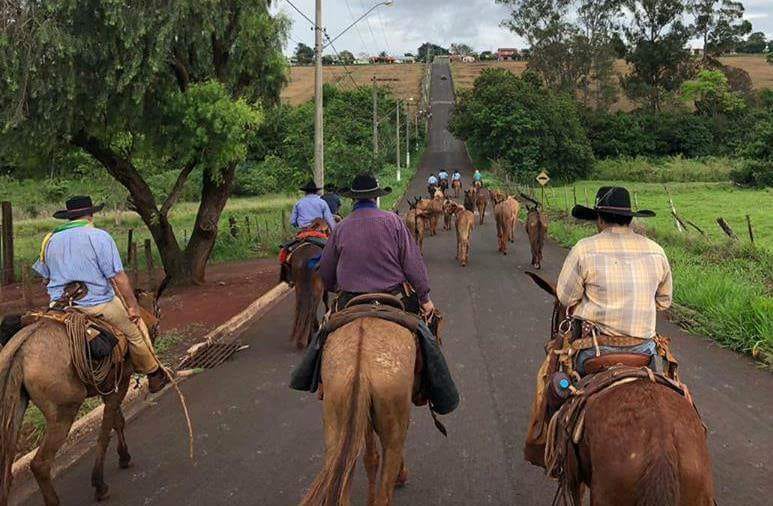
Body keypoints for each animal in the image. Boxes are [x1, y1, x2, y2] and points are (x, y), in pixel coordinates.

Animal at [0, 282, 167, 504]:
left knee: (6, 472)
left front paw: (123, 456)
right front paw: (99, 483)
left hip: (14, 408)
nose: (156, 326)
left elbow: (117, 421)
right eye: (158, 311)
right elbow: (106, 431)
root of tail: (21, 349)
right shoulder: (120, 383)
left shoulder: (109, 385)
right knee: (40, 464)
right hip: (64, 412)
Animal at [300, 318, 416, 504]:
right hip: (393, 423)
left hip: (336, 416)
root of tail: (359, 368)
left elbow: (371, 458)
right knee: (385, 491)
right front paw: (401, 476)